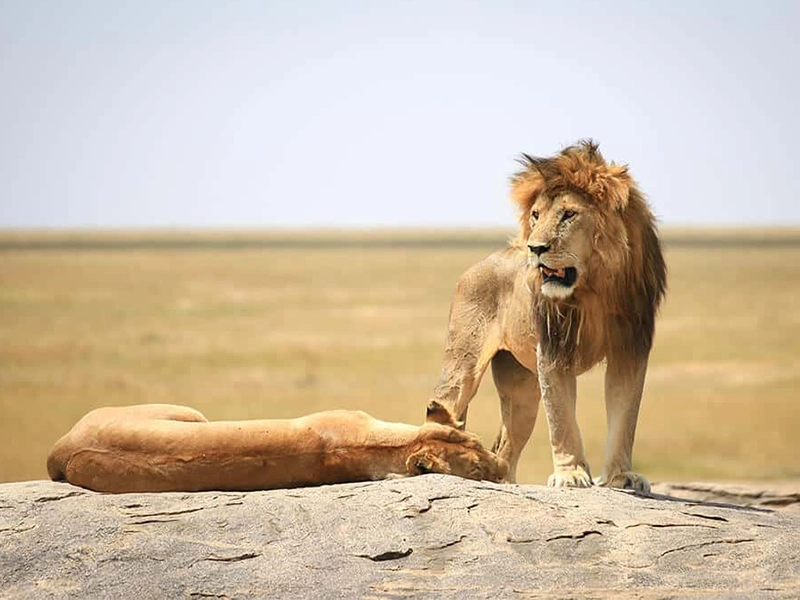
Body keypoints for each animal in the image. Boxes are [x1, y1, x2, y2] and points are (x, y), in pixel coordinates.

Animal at [425, 140, 666, 492]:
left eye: (569, 214)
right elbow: (561, 419)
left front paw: (622, 476)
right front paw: (571, 475)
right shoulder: (553, 350)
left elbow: (625, 417)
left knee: (504, 446)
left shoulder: (630, 349)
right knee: (441, 409)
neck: (593, 290)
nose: (534, 248)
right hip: (462, 367)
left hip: (522, 389)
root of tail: (479, 263)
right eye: (536, 215)